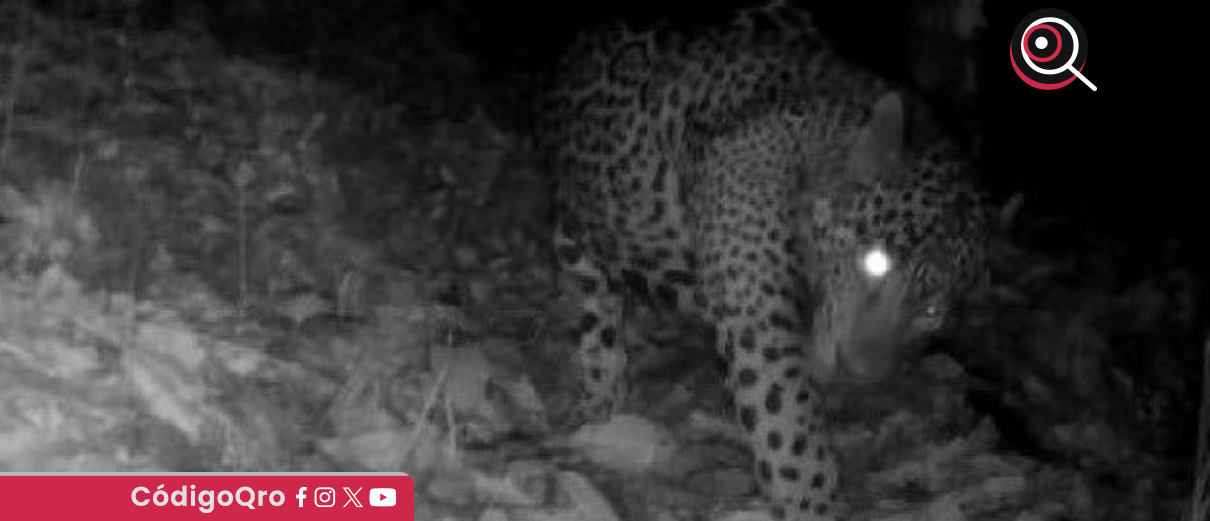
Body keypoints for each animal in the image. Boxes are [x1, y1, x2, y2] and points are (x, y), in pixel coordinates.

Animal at [539, 1, 989, 519]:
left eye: (932, 312)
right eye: (875, 261)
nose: (861, 374)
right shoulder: (759, 323)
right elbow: (791, 431)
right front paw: (815, 505)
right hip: (575, 230)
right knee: (596, 309)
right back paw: (599, 395)